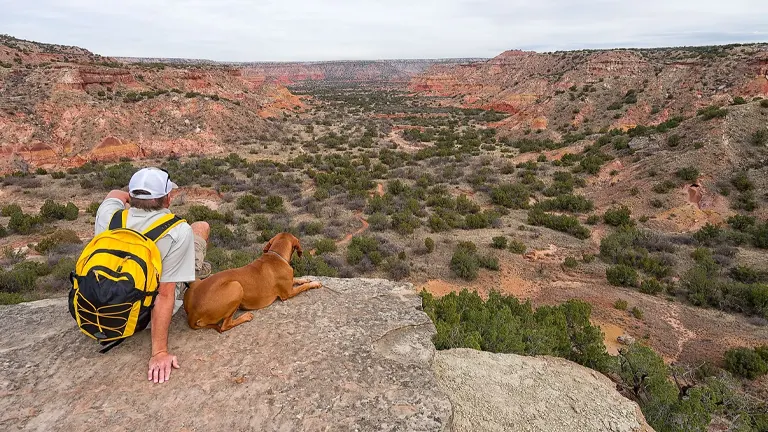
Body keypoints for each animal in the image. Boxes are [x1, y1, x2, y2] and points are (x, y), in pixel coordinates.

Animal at [182, 233, 320, 330]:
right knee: (225, 326)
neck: (276, 255)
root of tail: (192, 314)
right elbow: (303, 287)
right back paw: (246, 317)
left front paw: (306, 279)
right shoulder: (288, 293)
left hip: (195, 282)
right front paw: (314, 283)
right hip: (236, 287)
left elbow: (297, 279)